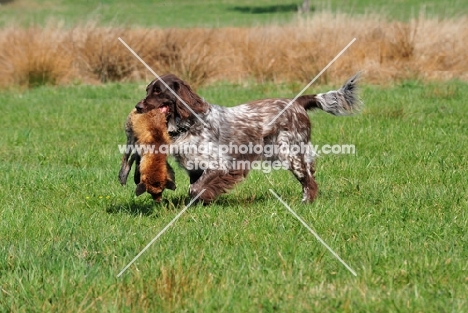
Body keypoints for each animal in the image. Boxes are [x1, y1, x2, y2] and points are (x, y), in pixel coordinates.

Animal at [125, 73, 362, 205]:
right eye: (148, 89)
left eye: (158, 91)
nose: (138, 107)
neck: (189, 124)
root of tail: (297, 102)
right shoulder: (195, 168)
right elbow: (194, 189)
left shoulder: (222, 165)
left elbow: (197, 189)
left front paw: (204, 199)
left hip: (290, 153)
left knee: (309, 183)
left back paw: (306, 203)